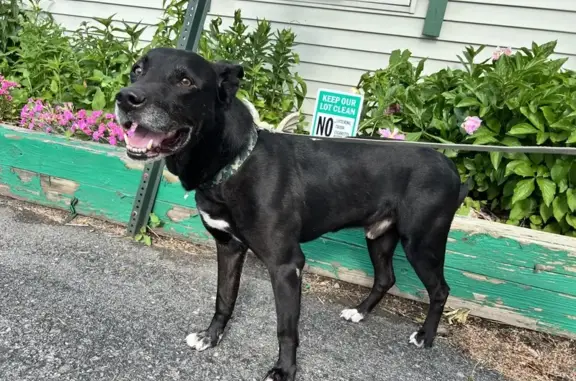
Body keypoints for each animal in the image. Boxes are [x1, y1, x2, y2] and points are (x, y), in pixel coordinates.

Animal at [116, 47, 468, 380]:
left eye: (185, 81)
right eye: (137, 70)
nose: (126, 98)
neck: (234, 165)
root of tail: (451, 167)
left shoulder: (286, 265)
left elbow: (286, 328)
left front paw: (284, 370)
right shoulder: (228, 248)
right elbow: (224, 298)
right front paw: (211, 337)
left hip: (421, 243)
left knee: (440, 290)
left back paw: (425, 336)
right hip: (380, 236)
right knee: (386, 277)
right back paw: (360, 312)